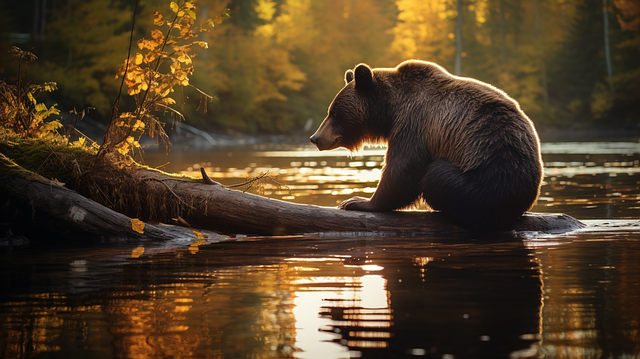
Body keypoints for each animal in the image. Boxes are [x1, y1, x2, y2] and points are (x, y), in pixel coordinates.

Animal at [310, 60, 544, 232]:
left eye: (334, 113)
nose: (315, 137)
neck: (391, 111)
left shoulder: (414, 124)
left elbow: (403, 169)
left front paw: (357, 201)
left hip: (487, 176)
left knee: (438, 174)